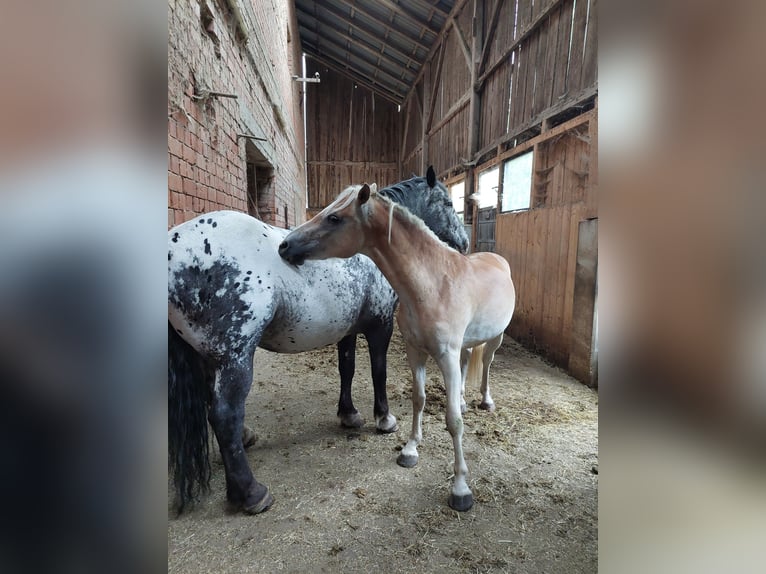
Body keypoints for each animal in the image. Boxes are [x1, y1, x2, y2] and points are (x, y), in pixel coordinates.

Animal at [168, 169, 468, 516]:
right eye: (449, 203)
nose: (464, 243)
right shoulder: (380, 326)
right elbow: (378, 372)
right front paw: (384, 419)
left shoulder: (347, 330)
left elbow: (347, 369)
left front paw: (349, 415)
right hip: (235, 357)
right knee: (225, 413)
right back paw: (251, 493)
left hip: (208, 357)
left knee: (214, 409)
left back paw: (245, 443)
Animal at [280, 184, 516, 512]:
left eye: (334, 218)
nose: (285, 246)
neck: (434, 285)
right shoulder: (415, 352)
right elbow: (419, 399)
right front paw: (410, 449)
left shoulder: (445, 356)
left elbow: (453, 421)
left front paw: (460, 487)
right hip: (467, 344)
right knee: (469, 361)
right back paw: (465, 400)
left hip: (496, 338)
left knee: (488, 365)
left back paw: (486, 401)